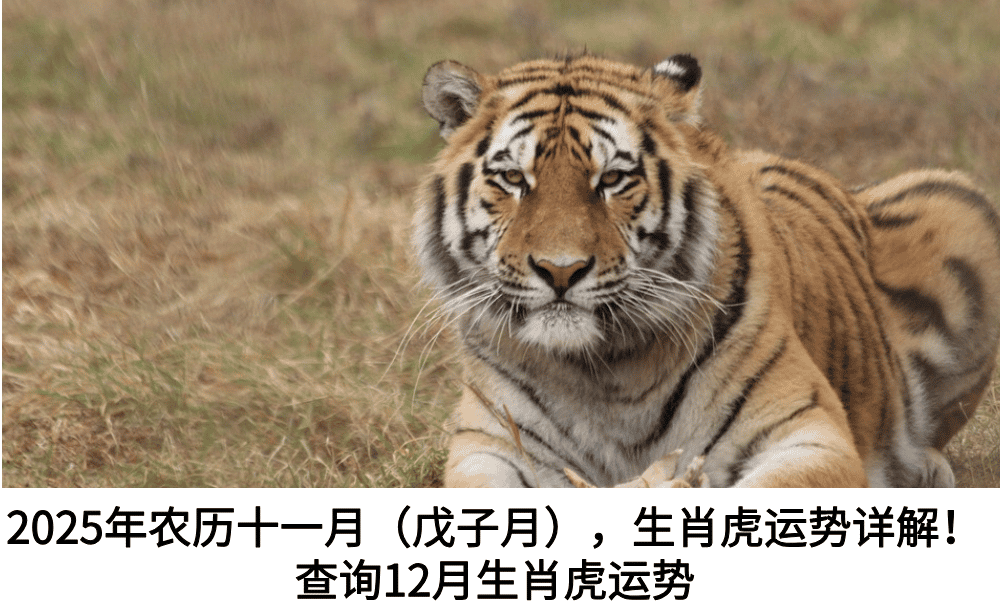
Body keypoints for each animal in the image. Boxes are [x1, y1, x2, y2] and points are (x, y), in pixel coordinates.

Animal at [412, 52, 1000, 488]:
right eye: (513, 179)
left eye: (613, 179)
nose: (561, 270)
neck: (600, 371)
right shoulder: (487, 449)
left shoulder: (809, 433)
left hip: (962, 205)